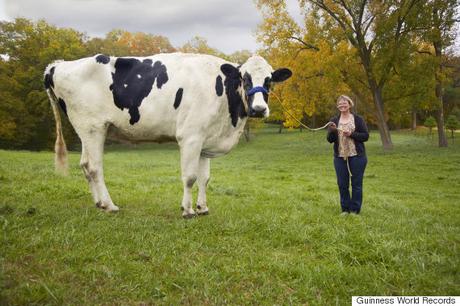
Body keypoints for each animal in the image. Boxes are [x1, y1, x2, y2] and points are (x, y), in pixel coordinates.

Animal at [45, 53, 292, 218]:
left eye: (269, 80)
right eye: (244, 78)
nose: (259, 109)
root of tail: (58, 65)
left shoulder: (205, 139)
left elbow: (205, 178)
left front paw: (203, 208)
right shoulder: (190, 137)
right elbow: (190, 177)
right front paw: (188, 210)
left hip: (88, 131)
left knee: (85, 165)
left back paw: (98, 203)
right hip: (93, 127)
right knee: (95, 167)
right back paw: (109, 205)